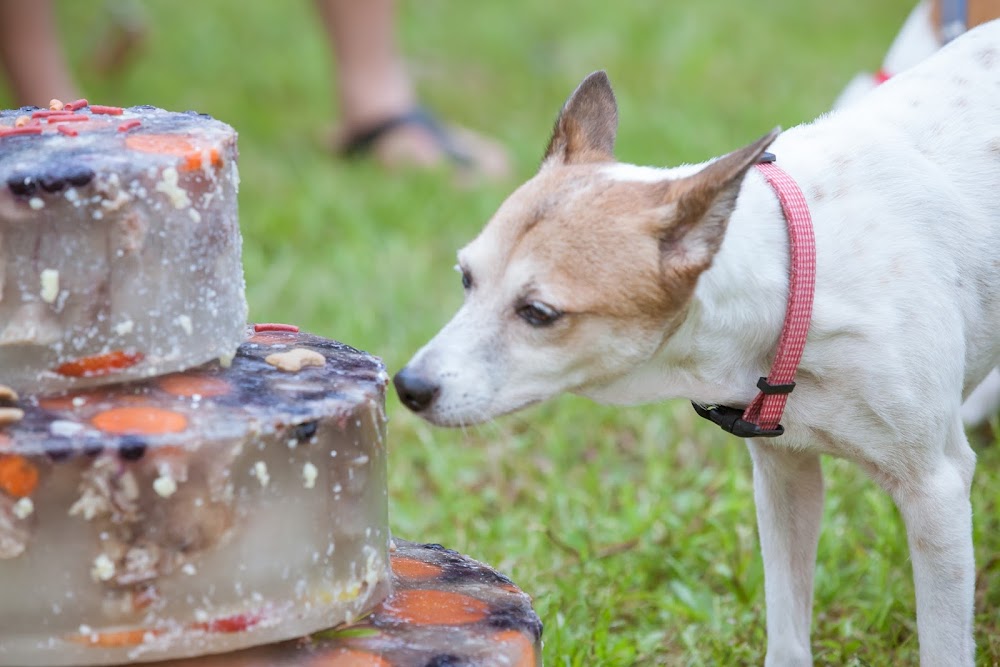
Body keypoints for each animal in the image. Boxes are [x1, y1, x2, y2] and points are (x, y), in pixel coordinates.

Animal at [392, 20, 1000, 667]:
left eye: (538, 313)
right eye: (466, 278)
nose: (408, 386)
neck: (797, 277)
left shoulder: (936, 490)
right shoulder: (784, 475)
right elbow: (787, 630)